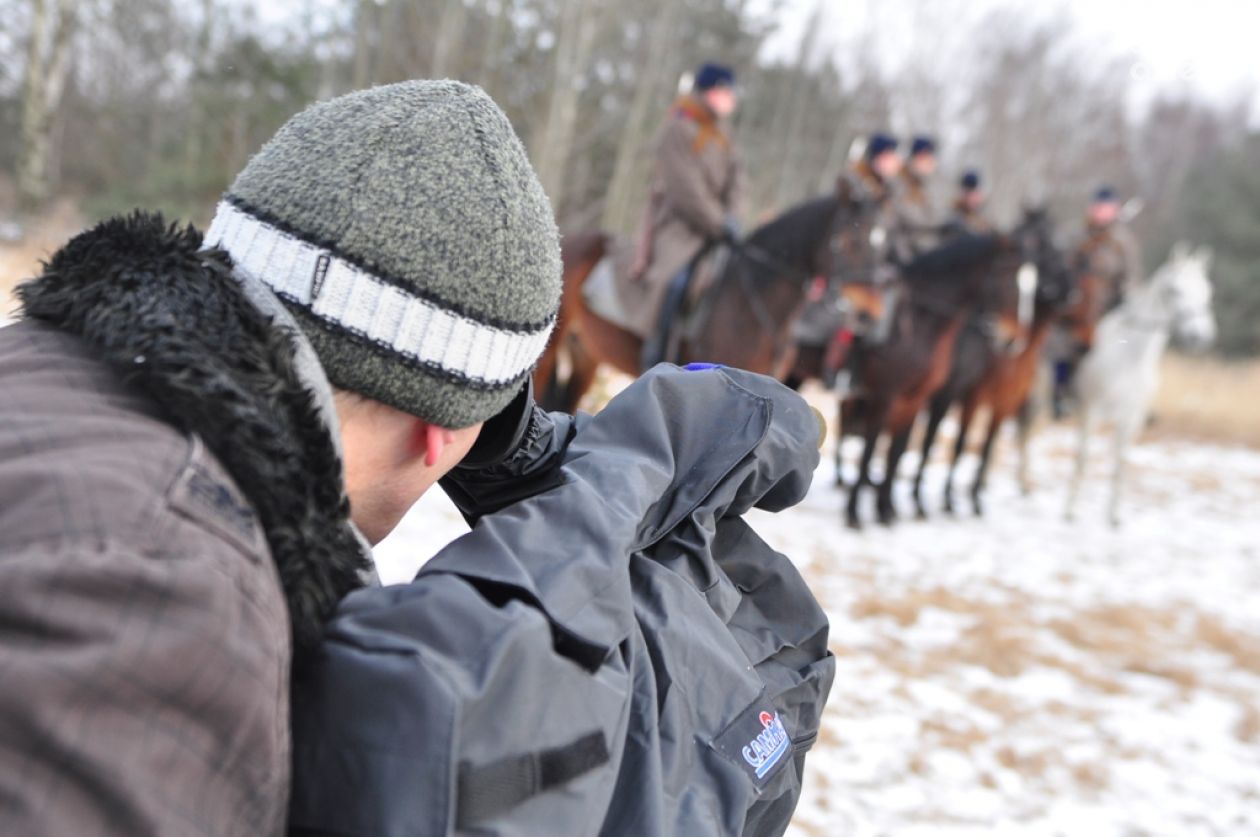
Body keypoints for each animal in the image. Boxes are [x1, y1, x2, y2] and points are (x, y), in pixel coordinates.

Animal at [841, 231, 1028, 526]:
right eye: (1009, 279)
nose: (1012, 340)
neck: (921, 325)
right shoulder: (887, 395)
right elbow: (872, 448)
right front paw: (854, 513)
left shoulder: (917, 398)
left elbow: (898, 450)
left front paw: (886, 509)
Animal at [912, 209, 1078, 516]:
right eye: (1050, 251)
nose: (1074, 294)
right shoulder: (965, 395)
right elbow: (951, 443)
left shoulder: (1003, 402)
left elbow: (983, 446)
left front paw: (971, 499)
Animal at [1068, 242, 1214, 524]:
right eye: (1174, 290)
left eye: (1207, 292)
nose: (1199, 337)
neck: (1130, 357)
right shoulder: (1091, 411)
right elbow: (1082, 459)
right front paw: (1070, 512)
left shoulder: (1131, 419)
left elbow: (1121, 465)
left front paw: (1114, 517)